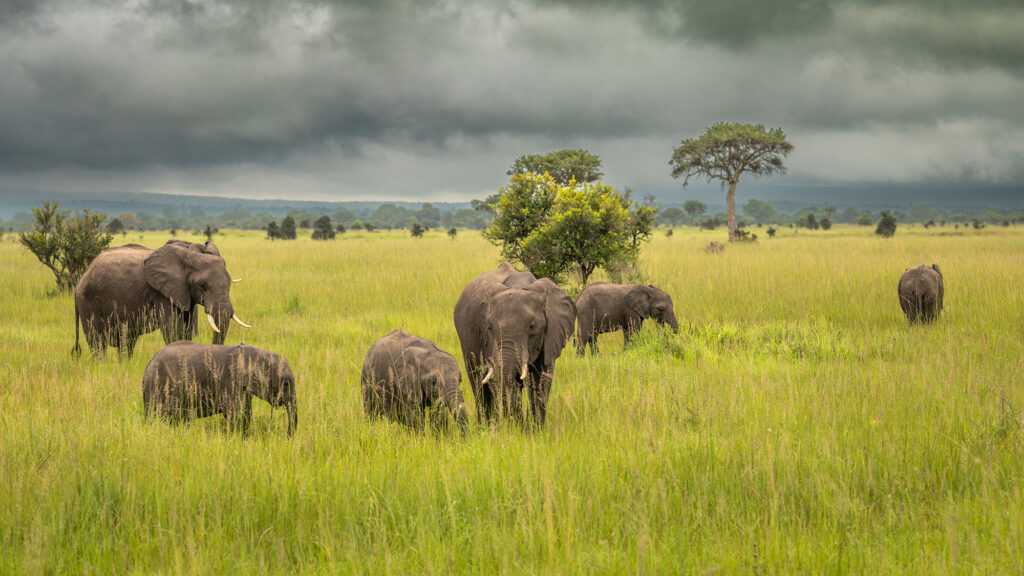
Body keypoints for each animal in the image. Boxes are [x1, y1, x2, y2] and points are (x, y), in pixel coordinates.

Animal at [72, 236, 251, 354]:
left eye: (229, 284)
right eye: (202, 285)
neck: (189, 254)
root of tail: (82, 277)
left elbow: (185, 329)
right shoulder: (161, 293)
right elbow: (172, 328)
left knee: (127, 340)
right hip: (89, 302)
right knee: (97, 341)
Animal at [142, 340, 299, 434]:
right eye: (285, 383)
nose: (287, 437)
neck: (257, 353)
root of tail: (148, 364)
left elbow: (246, 412)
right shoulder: (227, 381)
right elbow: (234, 413)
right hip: (157, 387)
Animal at [454, 261, 577, 426]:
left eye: (532, 326)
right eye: (489, 327)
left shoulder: (551, 337)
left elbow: (541, 382)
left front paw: (536, 429)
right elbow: (507, 383)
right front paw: (518, 428)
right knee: (479, 384)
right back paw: (486, 427)